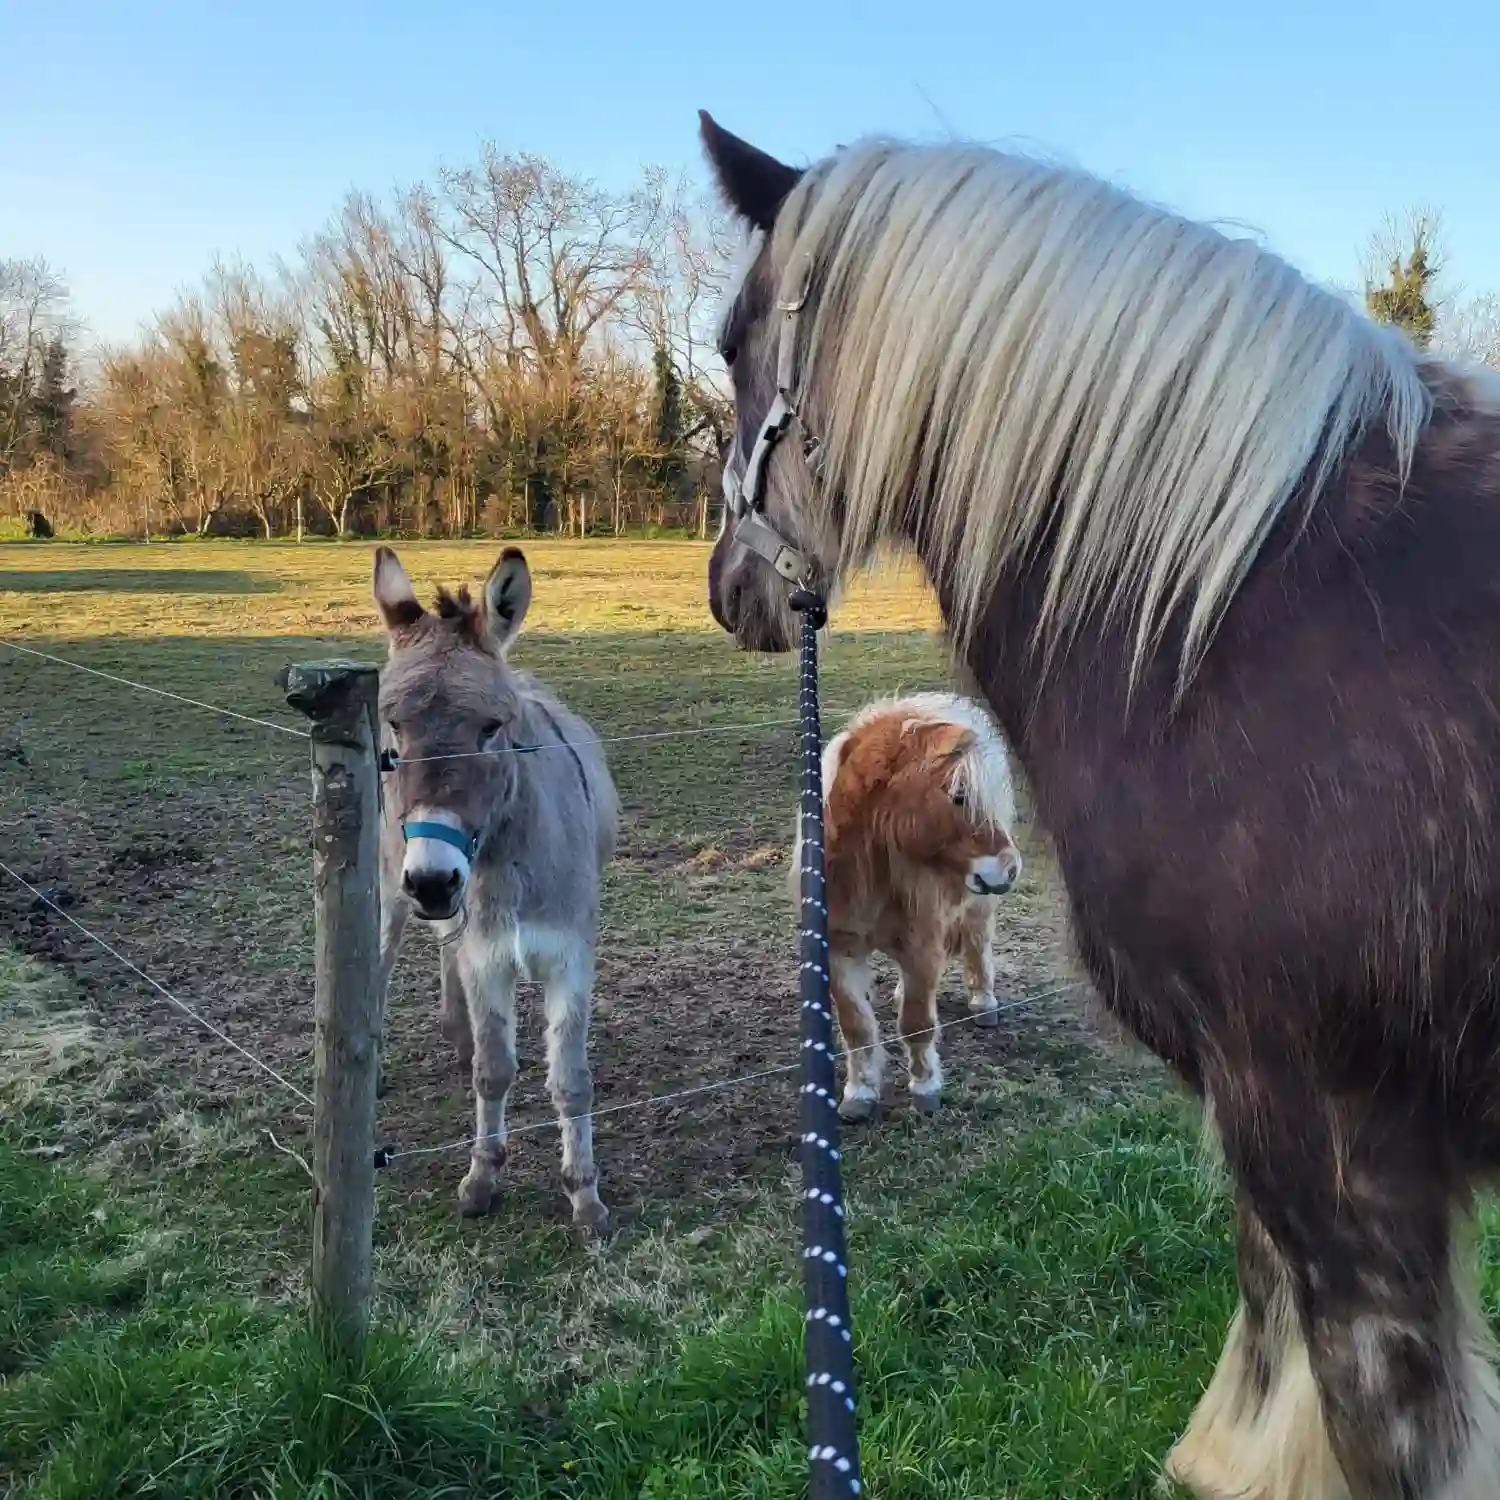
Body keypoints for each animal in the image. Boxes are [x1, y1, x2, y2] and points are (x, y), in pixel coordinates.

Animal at [372, 545, 618, 1236]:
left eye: (490, 727)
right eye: (393, 729)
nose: (432, 879)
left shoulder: (569, 957)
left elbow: (571, 1080)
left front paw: (585, 1196)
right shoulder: (487, 956)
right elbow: (494, 1072)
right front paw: (482, 1177)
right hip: (390, 893)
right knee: (386, 961)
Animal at [801, 691, 1022, 1121]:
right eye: (958, 795)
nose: (1011, 867)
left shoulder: (922, 944)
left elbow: (917, 1021)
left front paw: (925, 1087)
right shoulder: (839, 949)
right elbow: (856, 1025)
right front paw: (860, 1092)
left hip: (977, 907)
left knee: (978, 944)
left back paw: (984, 1002)